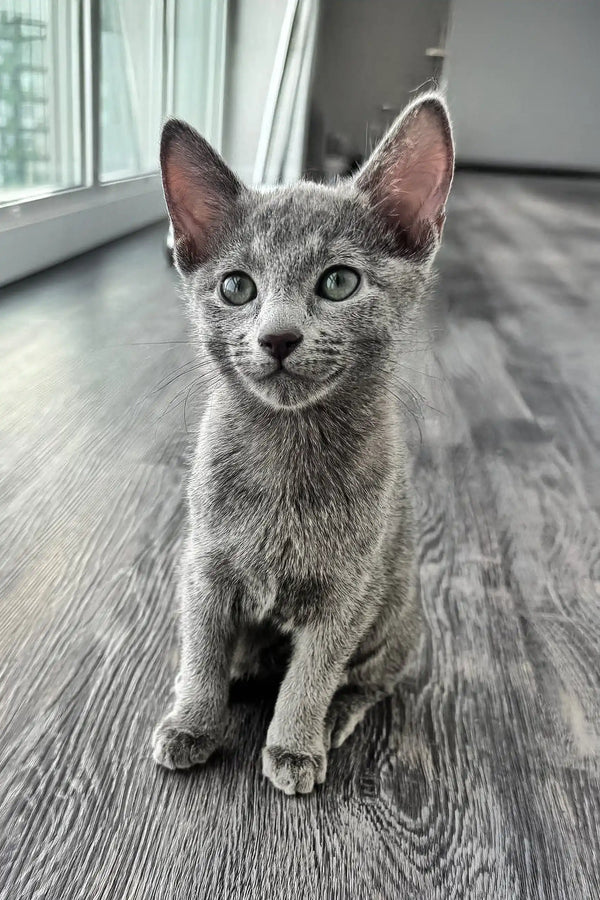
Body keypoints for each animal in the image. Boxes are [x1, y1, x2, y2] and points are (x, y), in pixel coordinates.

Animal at [152, 91, 452, 796]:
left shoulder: (347, 592)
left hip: (394, 613)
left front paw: (292, 744)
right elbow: (201, 649)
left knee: (371, 680)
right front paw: (192, 721)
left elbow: (312, 675)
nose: (279, 337)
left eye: (339, 282)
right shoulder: (204, 565)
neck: (286, 452)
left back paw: (334, 717)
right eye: (237, 287)